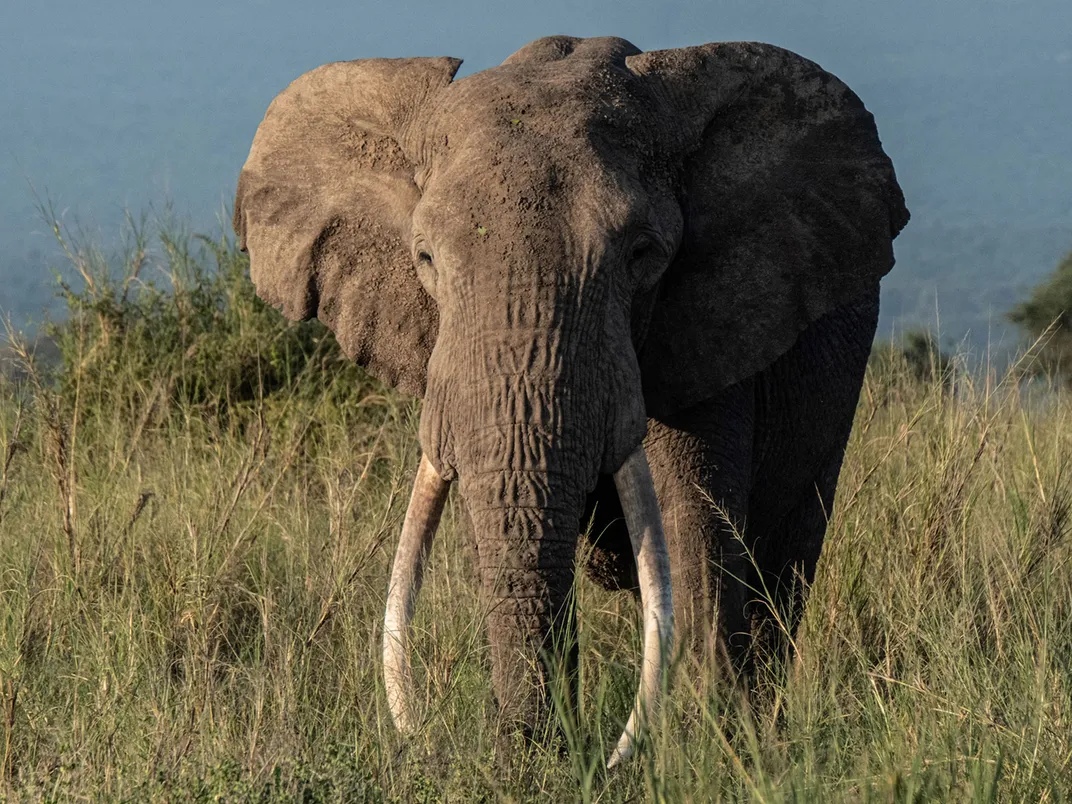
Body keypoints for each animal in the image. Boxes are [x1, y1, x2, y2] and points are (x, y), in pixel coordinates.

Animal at [232, 36, 904, 767]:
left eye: (642, 254)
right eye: (426, 257)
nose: (528, 755)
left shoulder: (708, 324)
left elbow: (694, 525)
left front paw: (707, 754)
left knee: (784, 563)